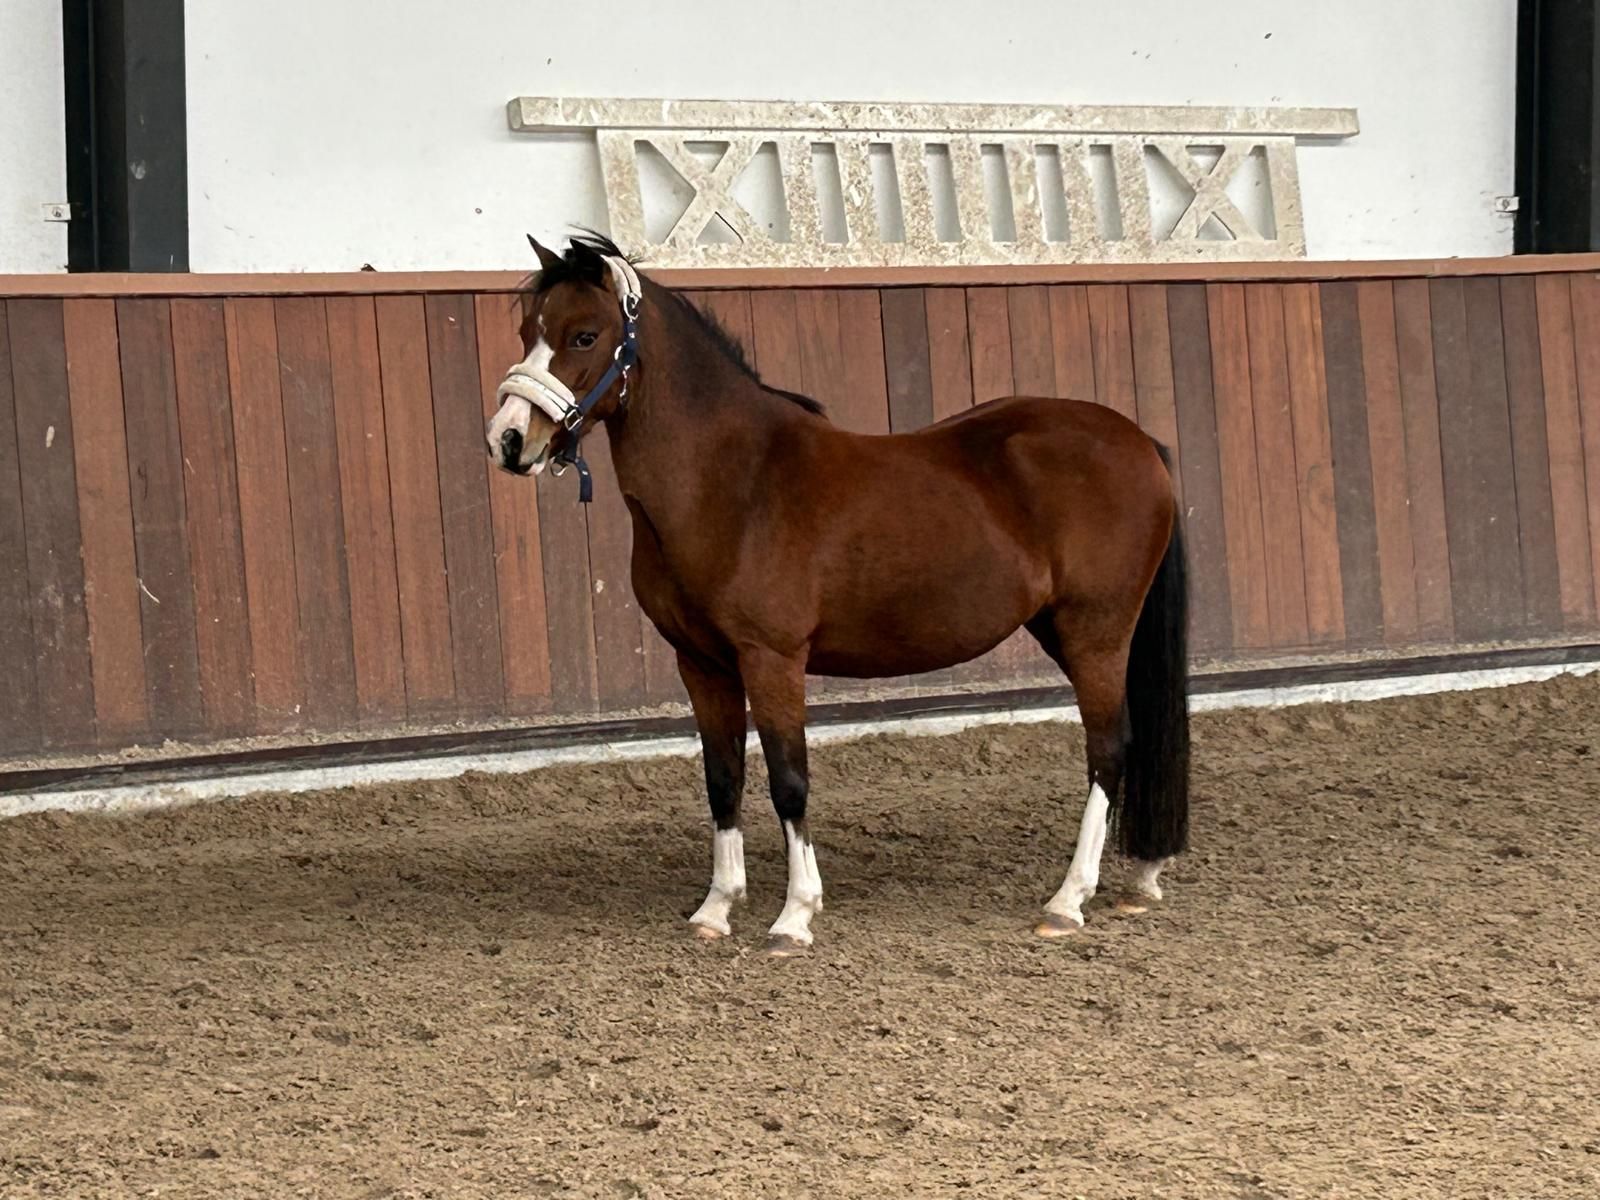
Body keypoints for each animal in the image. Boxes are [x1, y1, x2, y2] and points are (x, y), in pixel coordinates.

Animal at [485, 232, 1190, 956]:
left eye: (584, 335)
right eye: (527, 330)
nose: (508, 440)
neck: (733, 481)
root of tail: (1138, 441)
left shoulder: (772, 659)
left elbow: (788, 780)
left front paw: (794, 917)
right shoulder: (703, 664)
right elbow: (722, 779)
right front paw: (716, 908)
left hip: (1095, 632)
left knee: (1109, 748)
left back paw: (1068, 900)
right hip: (1065, 628)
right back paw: (1140, 879)